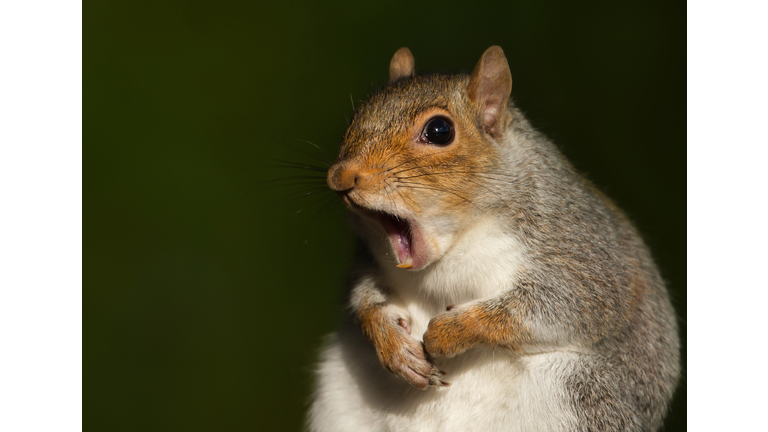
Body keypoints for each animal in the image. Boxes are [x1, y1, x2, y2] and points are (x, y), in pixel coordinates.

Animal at [306, 45, 680, 430]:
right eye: (357, 116)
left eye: (440, 130)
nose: (340, 176)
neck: (454, 246)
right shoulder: (369, 259)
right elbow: (364, 296)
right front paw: (393, 344)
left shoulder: (581, 252)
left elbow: (559, 306)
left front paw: (449, 331)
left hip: (584, 395)